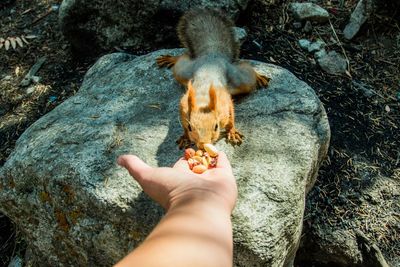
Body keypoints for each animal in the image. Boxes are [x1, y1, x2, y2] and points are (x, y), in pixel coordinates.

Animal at [156, 8, 268, 150]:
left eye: (216, 127)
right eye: (190, 127)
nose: (203, 145)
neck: (203, 100)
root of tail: (212, 55)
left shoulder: (225, 105)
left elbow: (231, 117)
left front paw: (232, 132)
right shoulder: (183, 108)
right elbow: (183, 123)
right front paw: (185, 136)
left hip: (241, 80)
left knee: (247, 69)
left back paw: (259, 77)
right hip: (183, 72)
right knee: (182, 59)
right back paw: (171, 59)